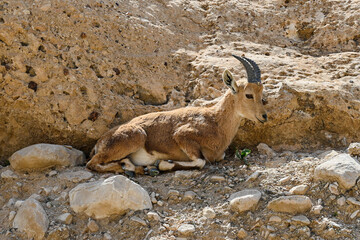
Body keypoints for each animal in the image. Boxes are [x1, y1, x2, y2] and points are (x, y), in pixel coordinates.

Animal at [86, 55, 268, 176]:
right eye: (249, 95)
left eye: (261, 93)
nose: (264, 116)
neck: (215, 121)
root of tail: (100, 142)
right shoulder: (182, 135)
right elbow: (200, 161)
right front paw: (162, 164)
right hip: (135, 136)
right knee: (91, 163)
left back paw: (134, 167)